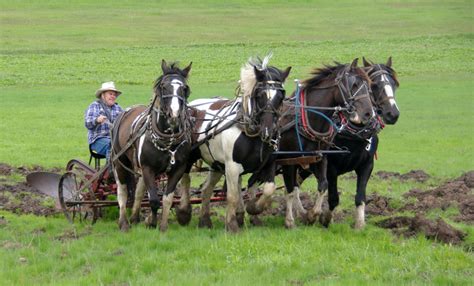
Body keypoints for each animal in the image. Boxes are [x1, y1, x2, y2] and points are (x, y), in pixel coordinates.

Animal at [111, 60, 193, 232]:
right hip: (119, 162)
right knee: (122, 192)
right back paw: (124, 222)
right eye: (163, 86)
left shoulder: (178, 169)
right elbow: (154, 200)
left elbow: (167, 199)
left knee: (139, 191)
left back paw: (135, 217)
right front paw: (151, 222)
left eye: (184, 88)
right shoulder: (148, 168)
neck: (168, 140)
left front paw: (163, 225)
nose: (174, 114)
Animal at [176, 55, 290, 232]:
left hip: (216, 164)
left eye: (281, 95)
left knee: (206, 189)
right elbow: (232, 196)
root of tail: (193, 106)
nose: (269, 131)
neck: (252, 133)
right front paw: (232, 225)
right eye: (260, 94)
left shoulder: (267, 164)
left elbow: (266, 189)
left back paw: (205, 220)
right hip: (190, 156)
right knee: (186, 179)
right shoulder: (232, 166)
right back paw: (184, 212)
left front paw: (253, 209)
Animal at [244, 59, 374, 229]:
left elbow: (323, 185)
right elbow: (290, 189)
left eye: (369, 85)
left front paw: (312, 215)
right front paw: (290, 221)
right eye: (353, 84)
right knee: (254, 182)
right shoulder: (289, 161)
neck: (308, 119)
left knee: (253, 181)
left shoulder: (321, 158)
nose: (368, 113)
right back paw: (254, 209)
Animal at [298, 57, 398, 229]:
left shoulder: (367, 165)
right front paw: (325, 219)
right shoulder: (330, 167)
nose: (393, 113)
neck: (354, 133)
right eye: (374, 85)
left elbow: (360, 197)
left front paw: (359, 225)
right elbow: (333, 197)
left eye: (394, 84)